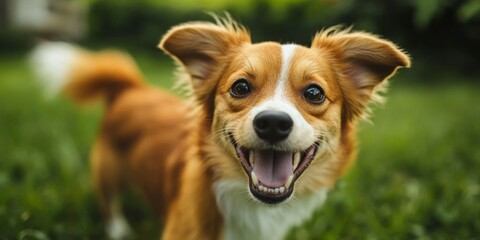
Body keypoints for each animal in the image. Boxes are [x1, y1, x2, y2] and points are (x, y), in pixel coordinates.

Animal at [31, 15, 410, 239]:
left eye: (314, 93)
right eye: (240, 87)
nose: (273, 123)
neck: (250, 205)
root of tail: (130, 87)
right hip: (106, 171)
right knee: (109, 203)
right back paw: (119, 229)